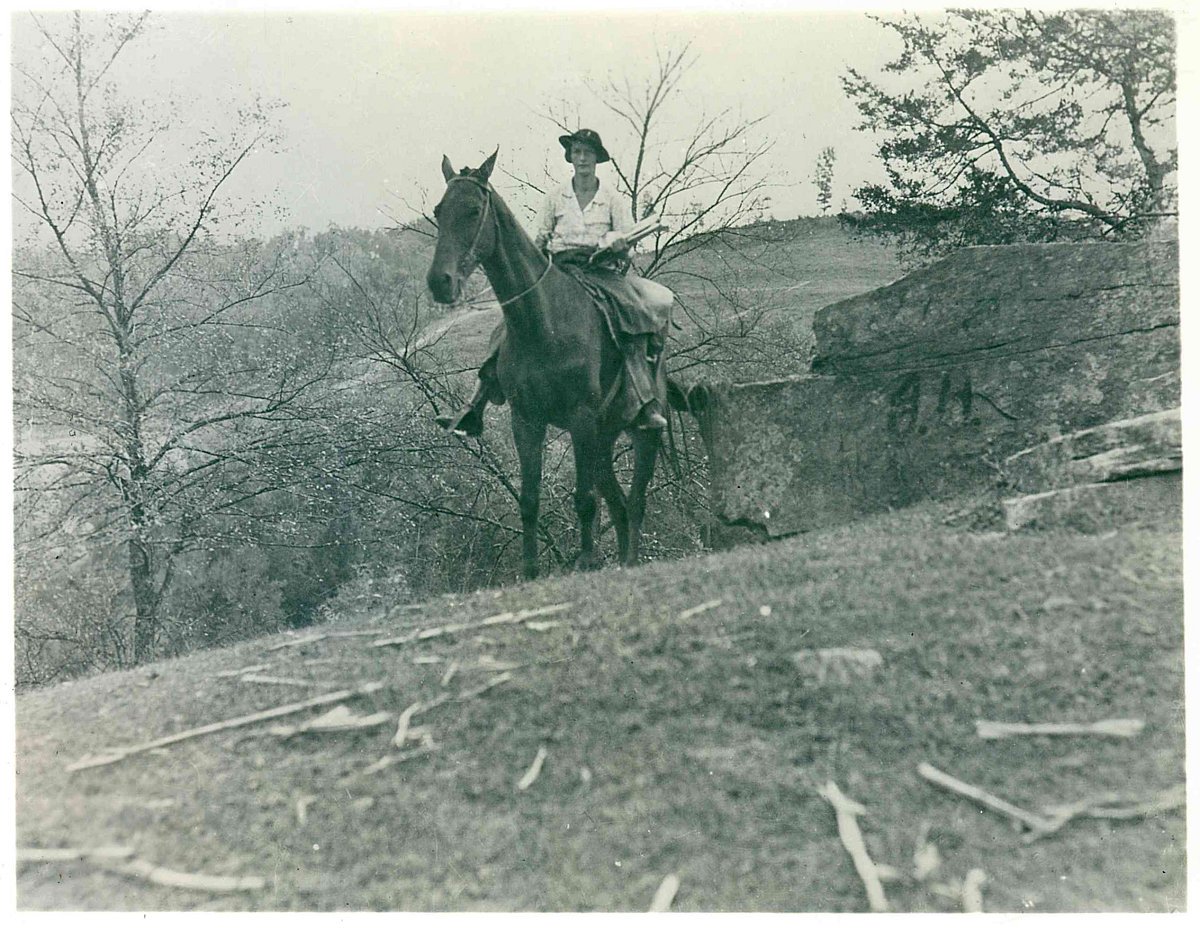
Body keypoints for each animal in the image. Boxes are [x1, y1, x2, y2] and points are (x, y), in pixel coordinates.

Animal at [425, 150, 663, 579]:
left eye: (473, 210)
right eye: (439, 210)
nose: (440, 282)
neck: (544, 322)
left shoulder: (581, 418)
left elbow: (584, 499)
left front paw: (587, 561)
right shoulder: (527, 420)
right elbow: (529, 499)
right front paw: (531, 570)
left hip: (641, 434)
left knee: (635, 504)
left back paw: (629, 562)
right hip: (602, 440)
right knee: (619, 506)